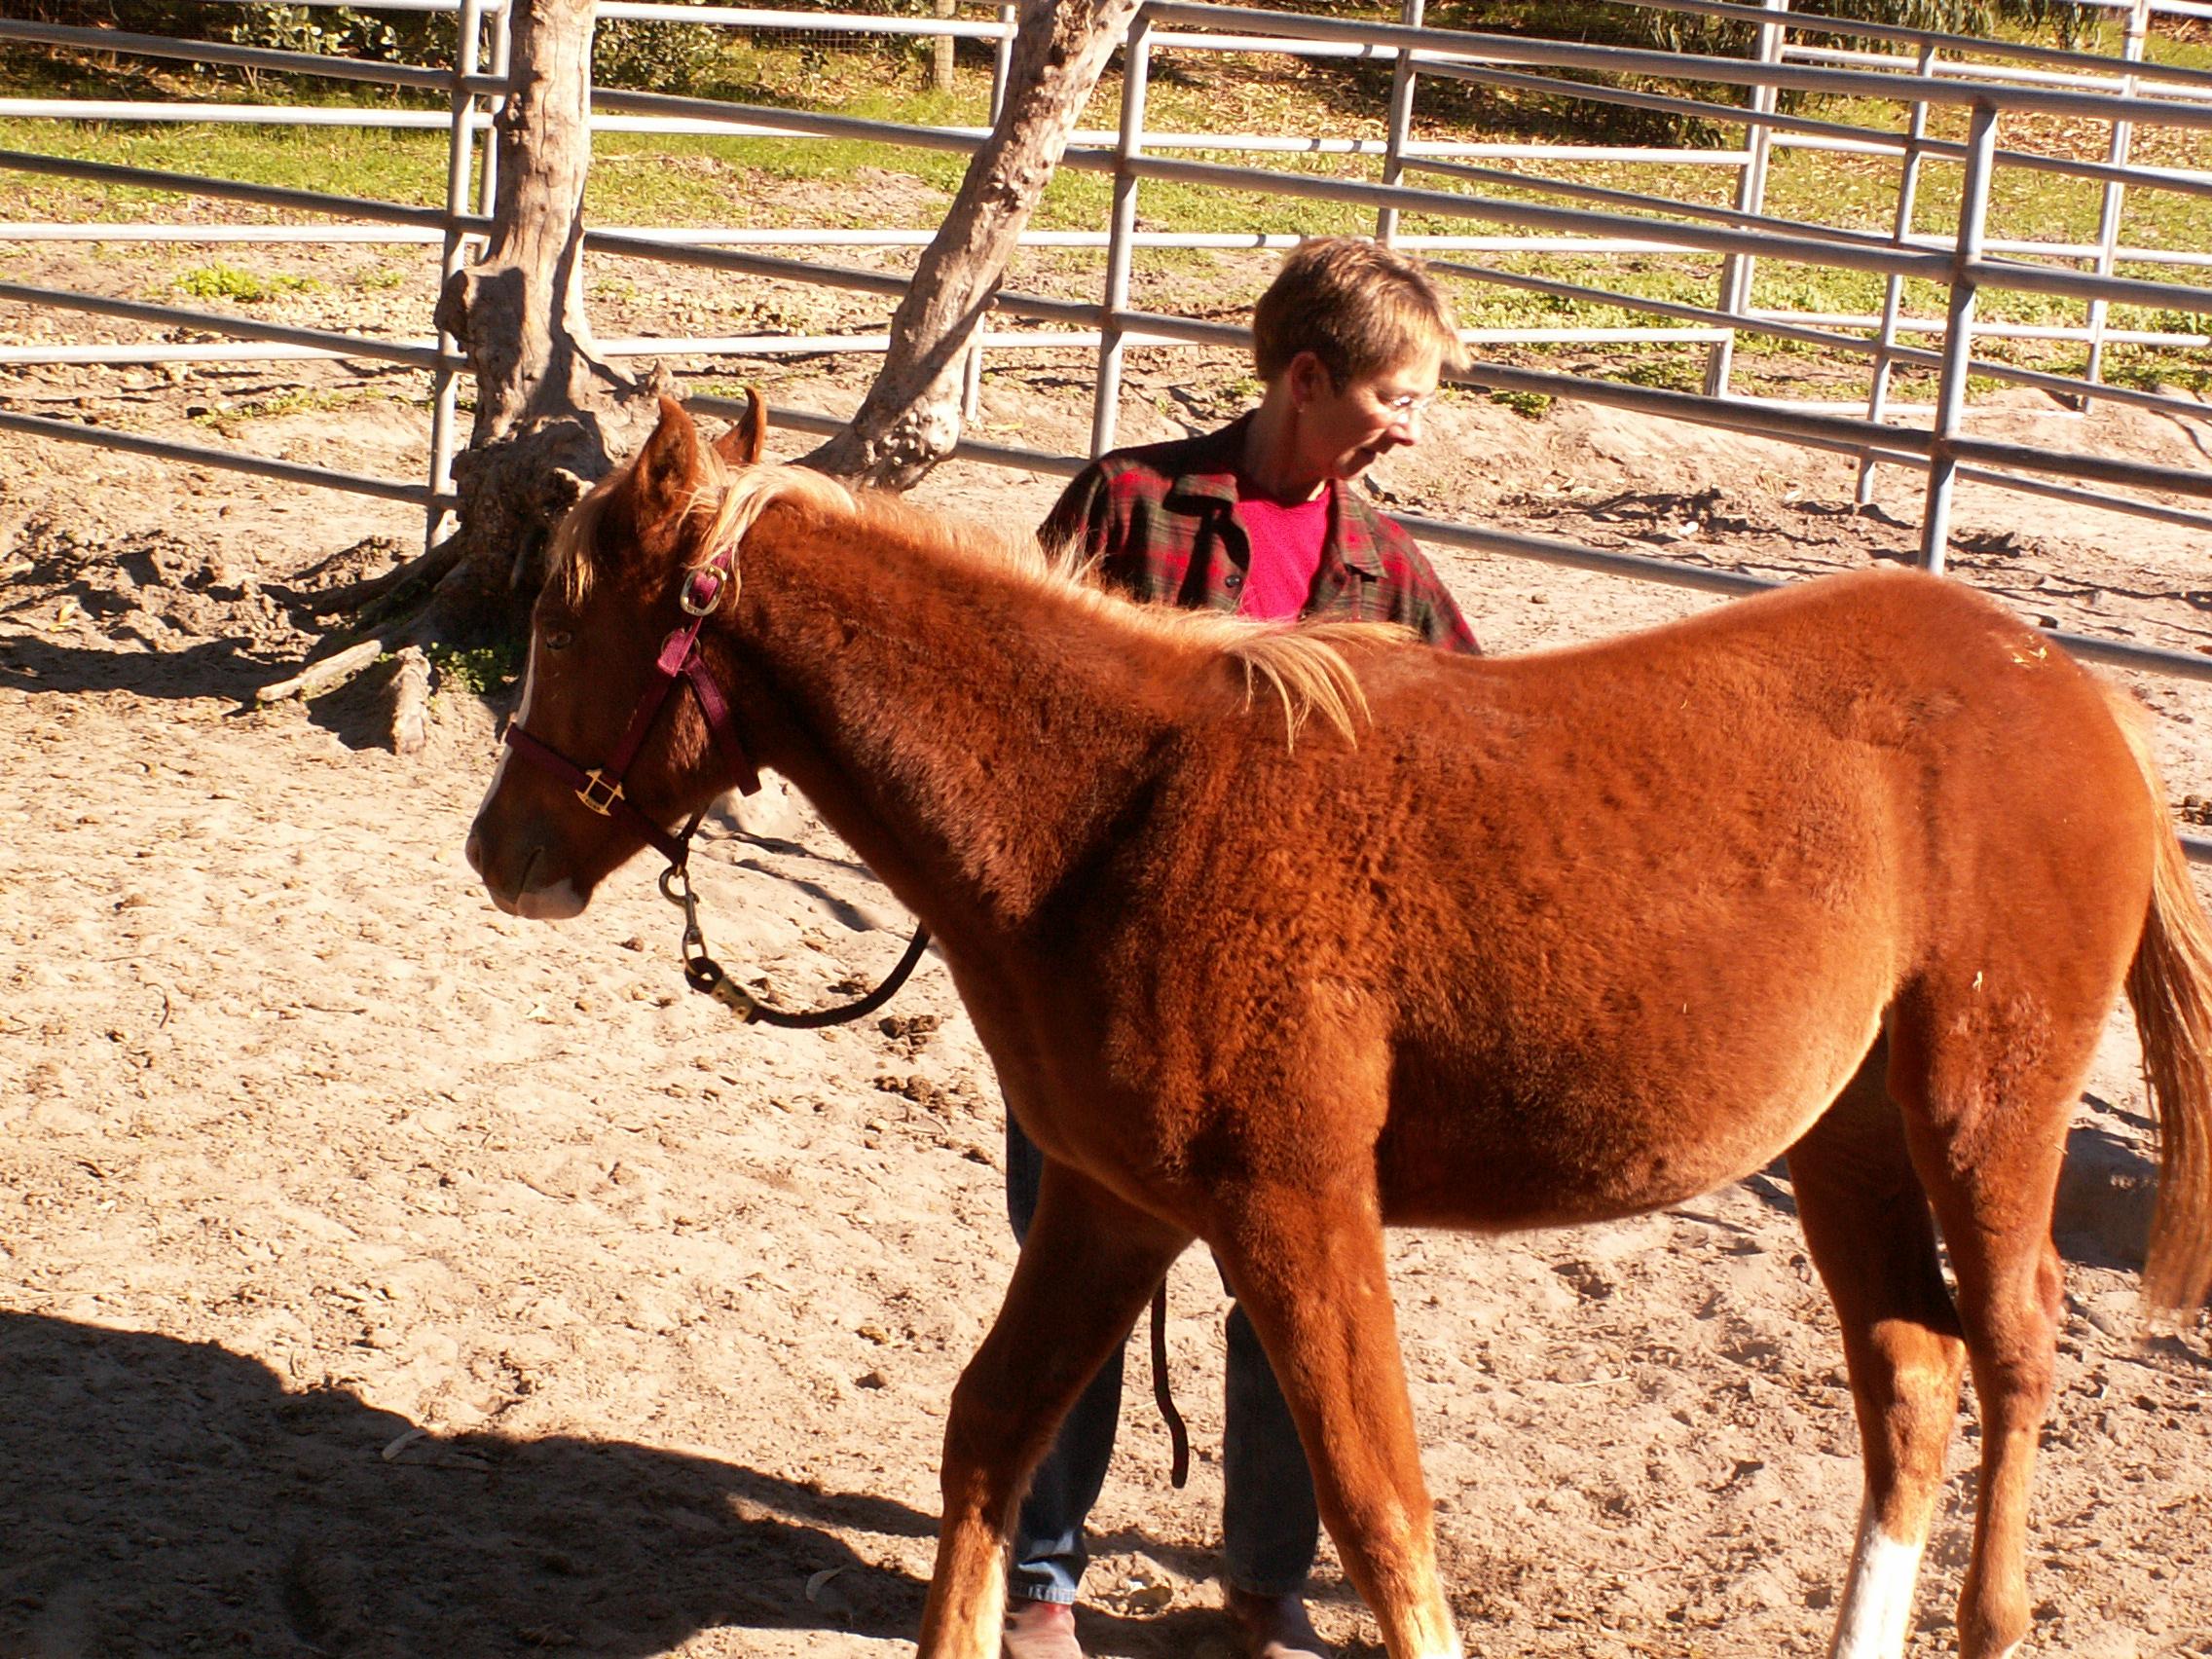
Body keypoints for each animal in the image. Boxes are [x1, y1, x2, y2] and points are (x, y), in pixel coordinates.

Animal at [466, 394, 2212, 1659]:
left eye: (564, 619)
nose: (499, 849)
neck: (1112, 808)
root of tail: (2070, 686)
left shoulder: (1293, 1205)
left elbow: (1379, 1513)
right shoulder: (1114, 1202)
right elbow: (990, 1431)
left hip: (1981, 1102)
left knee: (2013, 1342)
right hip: (1845, 1133)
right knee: (1909, 1373)